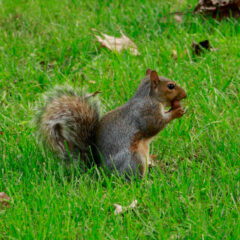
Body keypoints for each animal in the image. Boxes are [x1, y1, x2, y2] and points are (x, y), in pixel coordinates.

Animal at [35, 68, 187, 177]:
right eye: (171, 86)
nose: (185, 95)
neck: (149, 98)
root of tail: (99, 170)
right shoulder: (146, 113)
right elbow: (155, 125)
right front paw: (177, 112)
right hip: (135, 158)